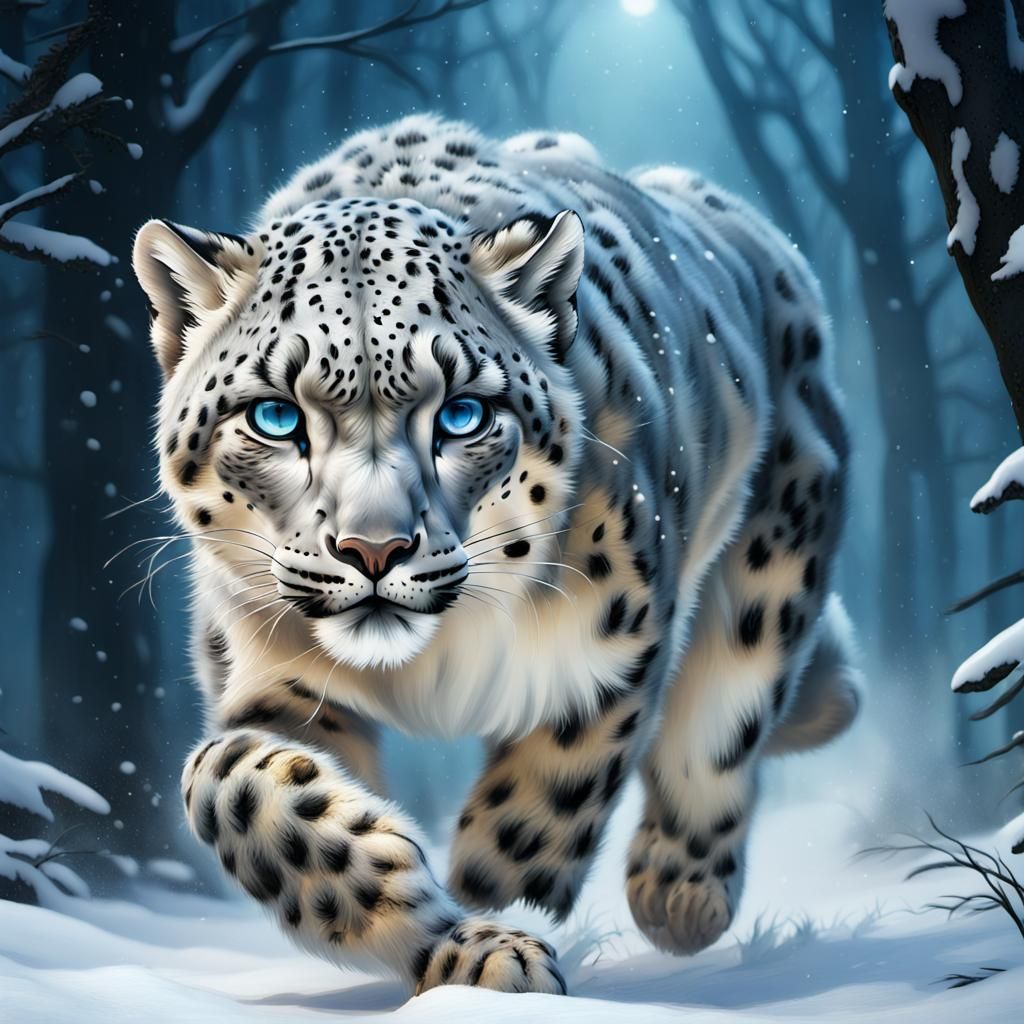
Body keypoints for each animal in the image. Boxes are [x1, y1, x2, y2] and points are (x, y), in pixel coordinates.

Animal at [131, 114, 861, 997]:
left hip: (781, 539)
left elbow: (546, 803)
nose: (374, 549)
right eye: (276, 417)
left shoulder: (612, 649)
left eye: (462, 414)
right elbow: (231, 780)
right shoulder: (273, 681)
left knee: (730, 703)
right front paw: (439, 923)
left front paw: (499, 925)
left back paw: (680, 892)